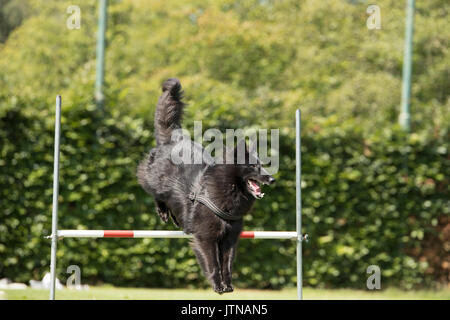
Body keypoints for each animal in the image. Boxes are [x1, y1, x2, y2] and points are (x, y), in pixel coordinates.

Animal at [138, 79, 274, 294]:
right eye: (254, 166)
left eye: (262, 165)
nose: (272, 179)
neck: (228, 189)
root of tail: (173, 139)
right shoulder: (206, 238)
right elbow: (213, 264)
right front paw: (217, 286)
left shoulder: (230, 239)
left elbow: (227, 264)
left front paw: (228, 285)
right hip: (156, 180)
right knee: (152, 189)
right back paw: (163, 212)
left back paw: (177, 219)